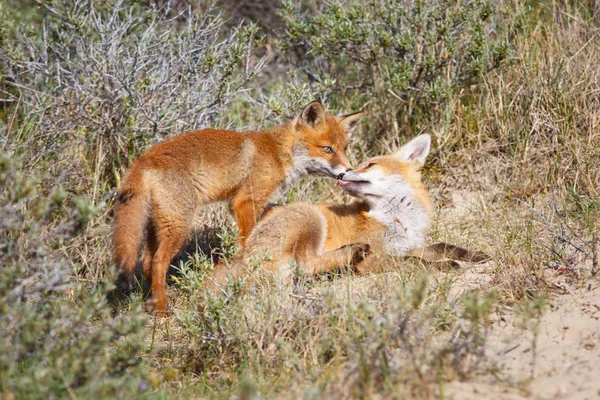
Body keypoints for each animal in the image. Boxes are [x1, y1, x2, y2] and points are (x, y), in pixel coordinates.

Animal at [115, 100, 364, 312]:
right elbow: (247, 243)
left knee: (147, 264)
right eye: (327, 149)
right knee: (158, 263)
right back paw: (162, 309)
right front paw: (245, 271)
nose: (347, 172)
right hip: (179, 228)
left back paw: (154, 300)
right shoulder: (245, 202)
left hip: (157, 227)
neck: (277, 153)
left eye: (344, 148)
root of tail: (144, 159)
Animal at [207, 134, 488, 288]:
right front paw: (448, 266)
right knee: (307, 264)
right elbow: (415, 262)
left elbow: (444, 246)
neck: (397, 219)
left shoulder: (410, 244)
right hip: (311, 217)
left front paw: (474, 255)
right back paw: (351, 253)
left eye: (369, 164)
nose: (342, 173)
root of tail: (242, 257)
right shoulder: (381, 257)